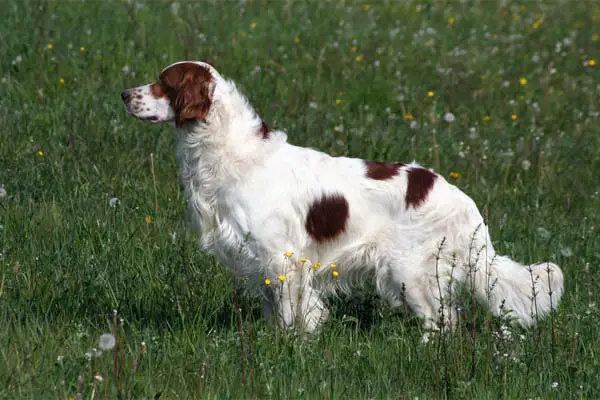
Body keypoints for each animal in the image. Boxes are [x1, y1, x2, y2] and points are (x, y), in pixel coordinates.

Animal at [120, 60, 564, 334]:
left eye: (164, 83)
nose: (125, 94)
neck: (231, 153)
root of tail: (465, 203)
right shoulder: (261, 262)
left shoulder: (282, 258)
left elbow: (292, 314)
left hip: (409, 273)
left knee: (441, 323)